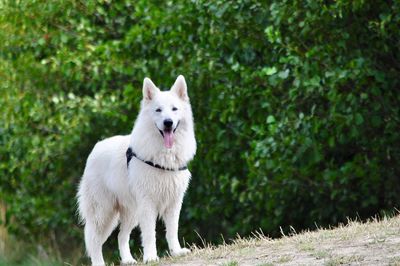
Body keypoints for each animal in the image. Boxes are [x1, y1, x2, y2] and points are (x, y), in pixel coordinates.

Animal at [76, 76, 195, 264]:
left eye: (174, 109)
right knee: (93, 240)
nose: (168, 123)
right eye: (158, 110)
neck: (164, 156)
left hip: (130, 212)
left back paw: (127, 260)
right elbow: (149, 234)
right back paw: (99, 263)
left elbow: (172, 230)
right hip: (103, 212)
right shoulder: (147, 204)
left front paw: (176, 252)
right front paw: (151, 257)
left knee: (121, 236)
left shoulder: (174, 202)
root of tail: (95, 148)